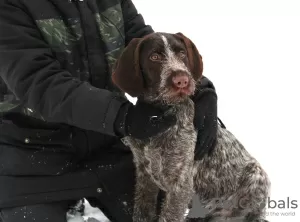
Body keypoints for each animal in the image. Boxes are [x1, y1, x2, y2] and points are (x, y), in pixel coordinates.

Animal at [111, 31, 270, 222]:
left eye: (182, 54)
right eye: (154, 57)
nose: (182, 81)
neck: (160, 115)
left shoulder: (180, 186)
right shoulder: (145, 176)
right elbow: (142, 213)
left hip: (257, 177)